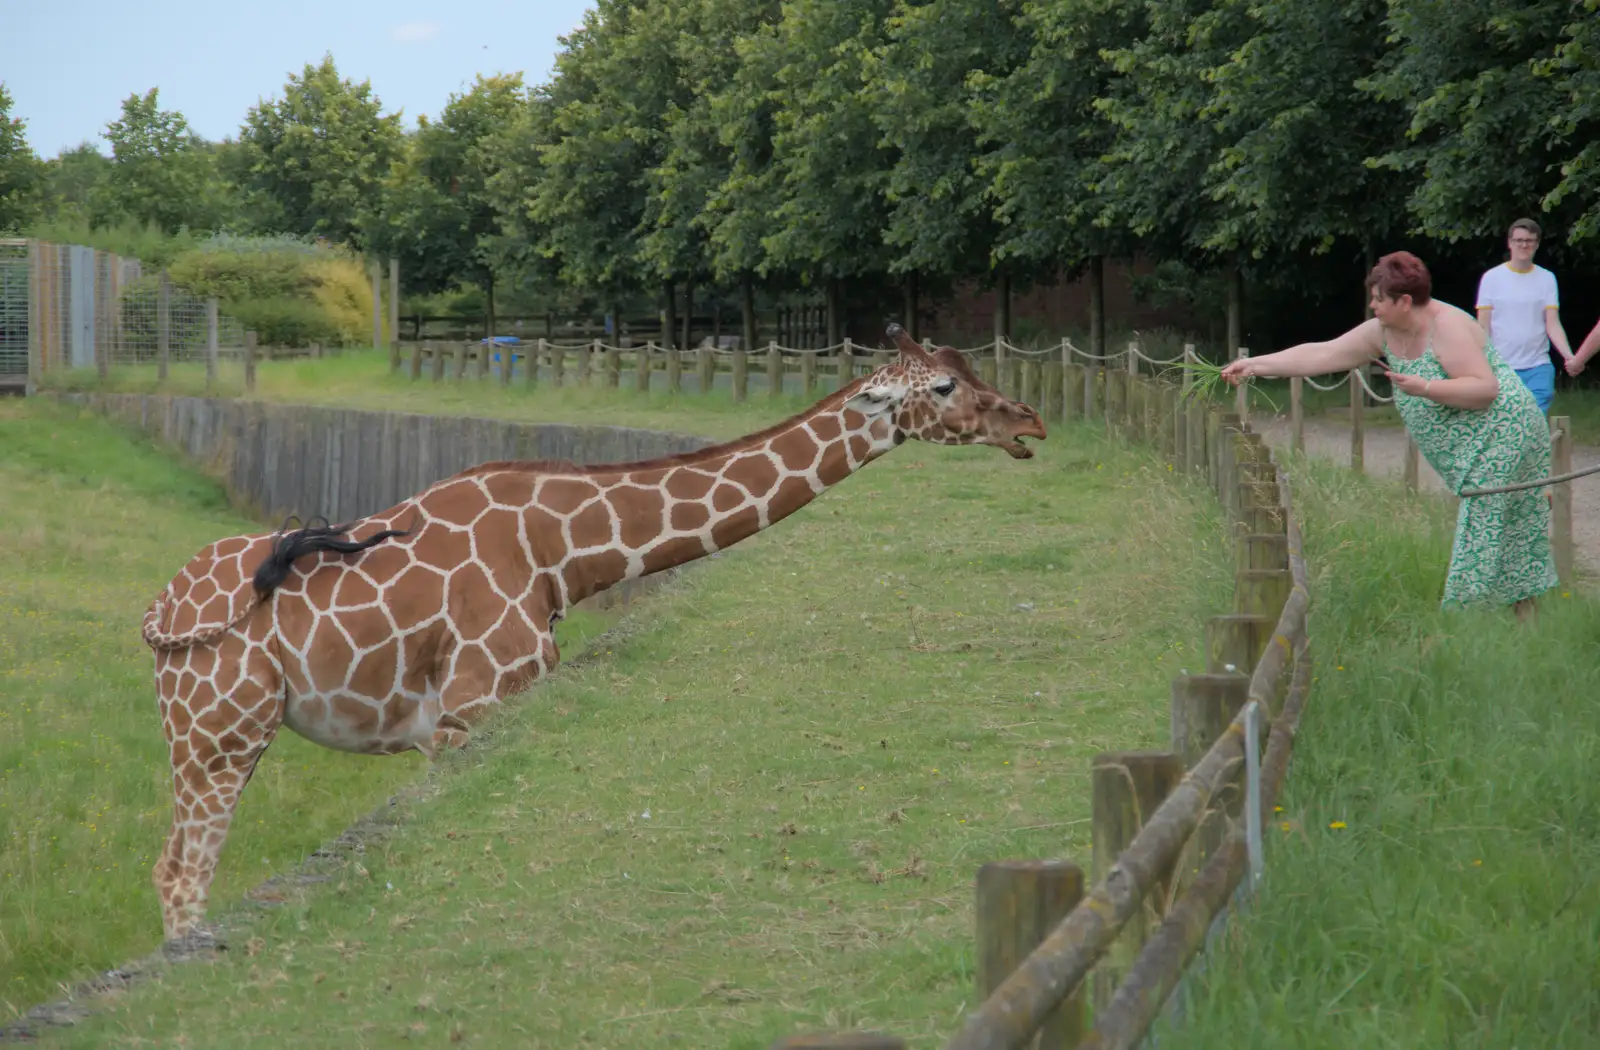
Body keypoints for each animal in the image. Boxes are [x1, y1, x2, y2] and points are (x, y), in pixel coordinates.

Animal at [144, 321, 1049, 941]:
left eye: (970, 371)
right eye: (942, 387)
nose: (1029, 424)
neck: (559, 551)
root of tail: (157, 615)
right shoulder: (467, 711)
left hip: (220, 735)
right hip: (218, 732)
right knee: (182, 872)